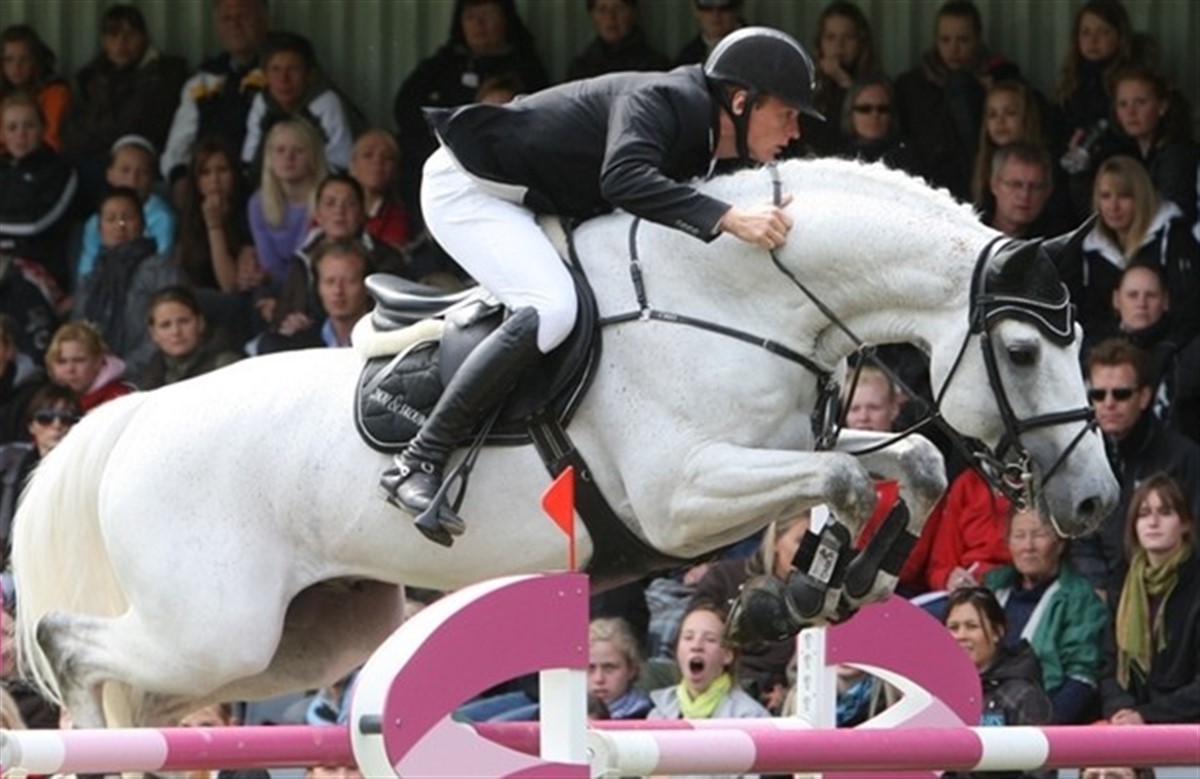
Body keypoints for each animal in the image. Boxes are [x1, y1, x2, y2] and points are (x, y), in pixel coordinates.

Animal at [11, 158, 1118, 729]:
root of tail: (138, 415)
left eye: (1079, 344)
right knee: (72, 642)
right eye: (1024, 349)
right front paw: (797, 593)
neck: (733, 296)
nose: (1096, 502)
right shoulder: (681, 495)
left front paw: (832, 585)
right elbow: (847, 473)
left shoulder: (777, 447)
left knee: (136, 678)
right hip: (219, 626)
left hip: (300, 639)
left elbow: (906, 461)